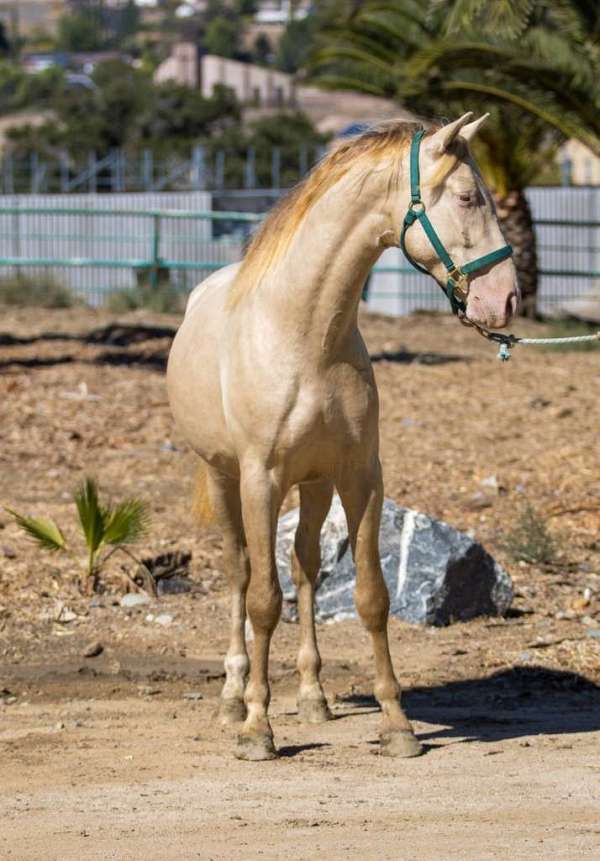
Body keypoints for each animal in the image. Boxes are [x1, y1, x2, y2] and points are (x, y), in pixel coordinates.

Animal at [167, 113, 519, 761]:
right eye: (466, 197)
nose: (505, 299)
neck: (303, 335)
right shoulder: (260, 480)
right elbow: (262, 601)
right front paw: (257, 727)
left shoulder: (360, 478)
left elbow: (371, 598)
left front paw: (397, 724)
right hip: (226, 479)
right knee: (240, 572)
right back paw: (232, 696)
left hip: (314, 486)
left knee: (306, 568)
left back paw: (313, 697)